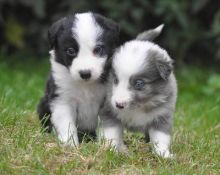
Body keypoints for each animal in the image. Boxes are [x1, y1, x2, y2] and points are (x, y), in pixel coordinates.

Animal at [38, 11, 120, 146]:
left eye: (98, 49)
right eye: (70, 50)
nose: (85, 73)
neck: (85, 85)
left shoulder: (107, 100)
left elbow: (109, 126)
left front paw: (109, 146)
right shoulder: (62, 99)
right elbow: (67, 124)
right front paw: (70, 145)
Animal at [99, 25, 177, 158]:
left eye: (139, 83)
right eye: (115, 80)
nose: (119, 105)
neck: (138, 106)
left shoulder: (162, 116)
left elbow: (160, 137)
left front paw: (163, 154)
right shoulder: (109, 112)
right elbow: (112, 134)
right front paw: (111, 150)